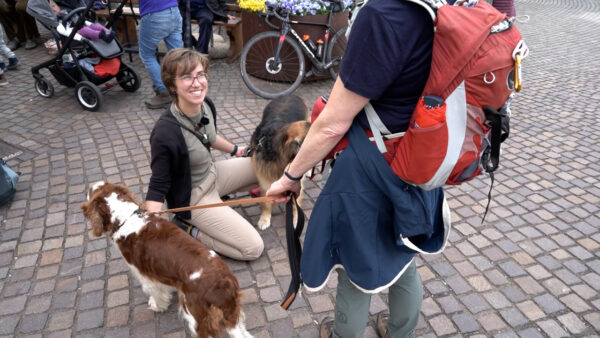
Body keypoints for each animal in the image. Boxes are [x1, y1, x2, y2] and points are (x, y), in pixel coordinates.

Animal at [251, 94, 312, 230]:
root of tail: (290, 94)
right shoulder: (264, 179)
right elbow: (266, 202)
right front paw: (265, 218)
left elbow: (295, 202)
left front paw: (296, 219)